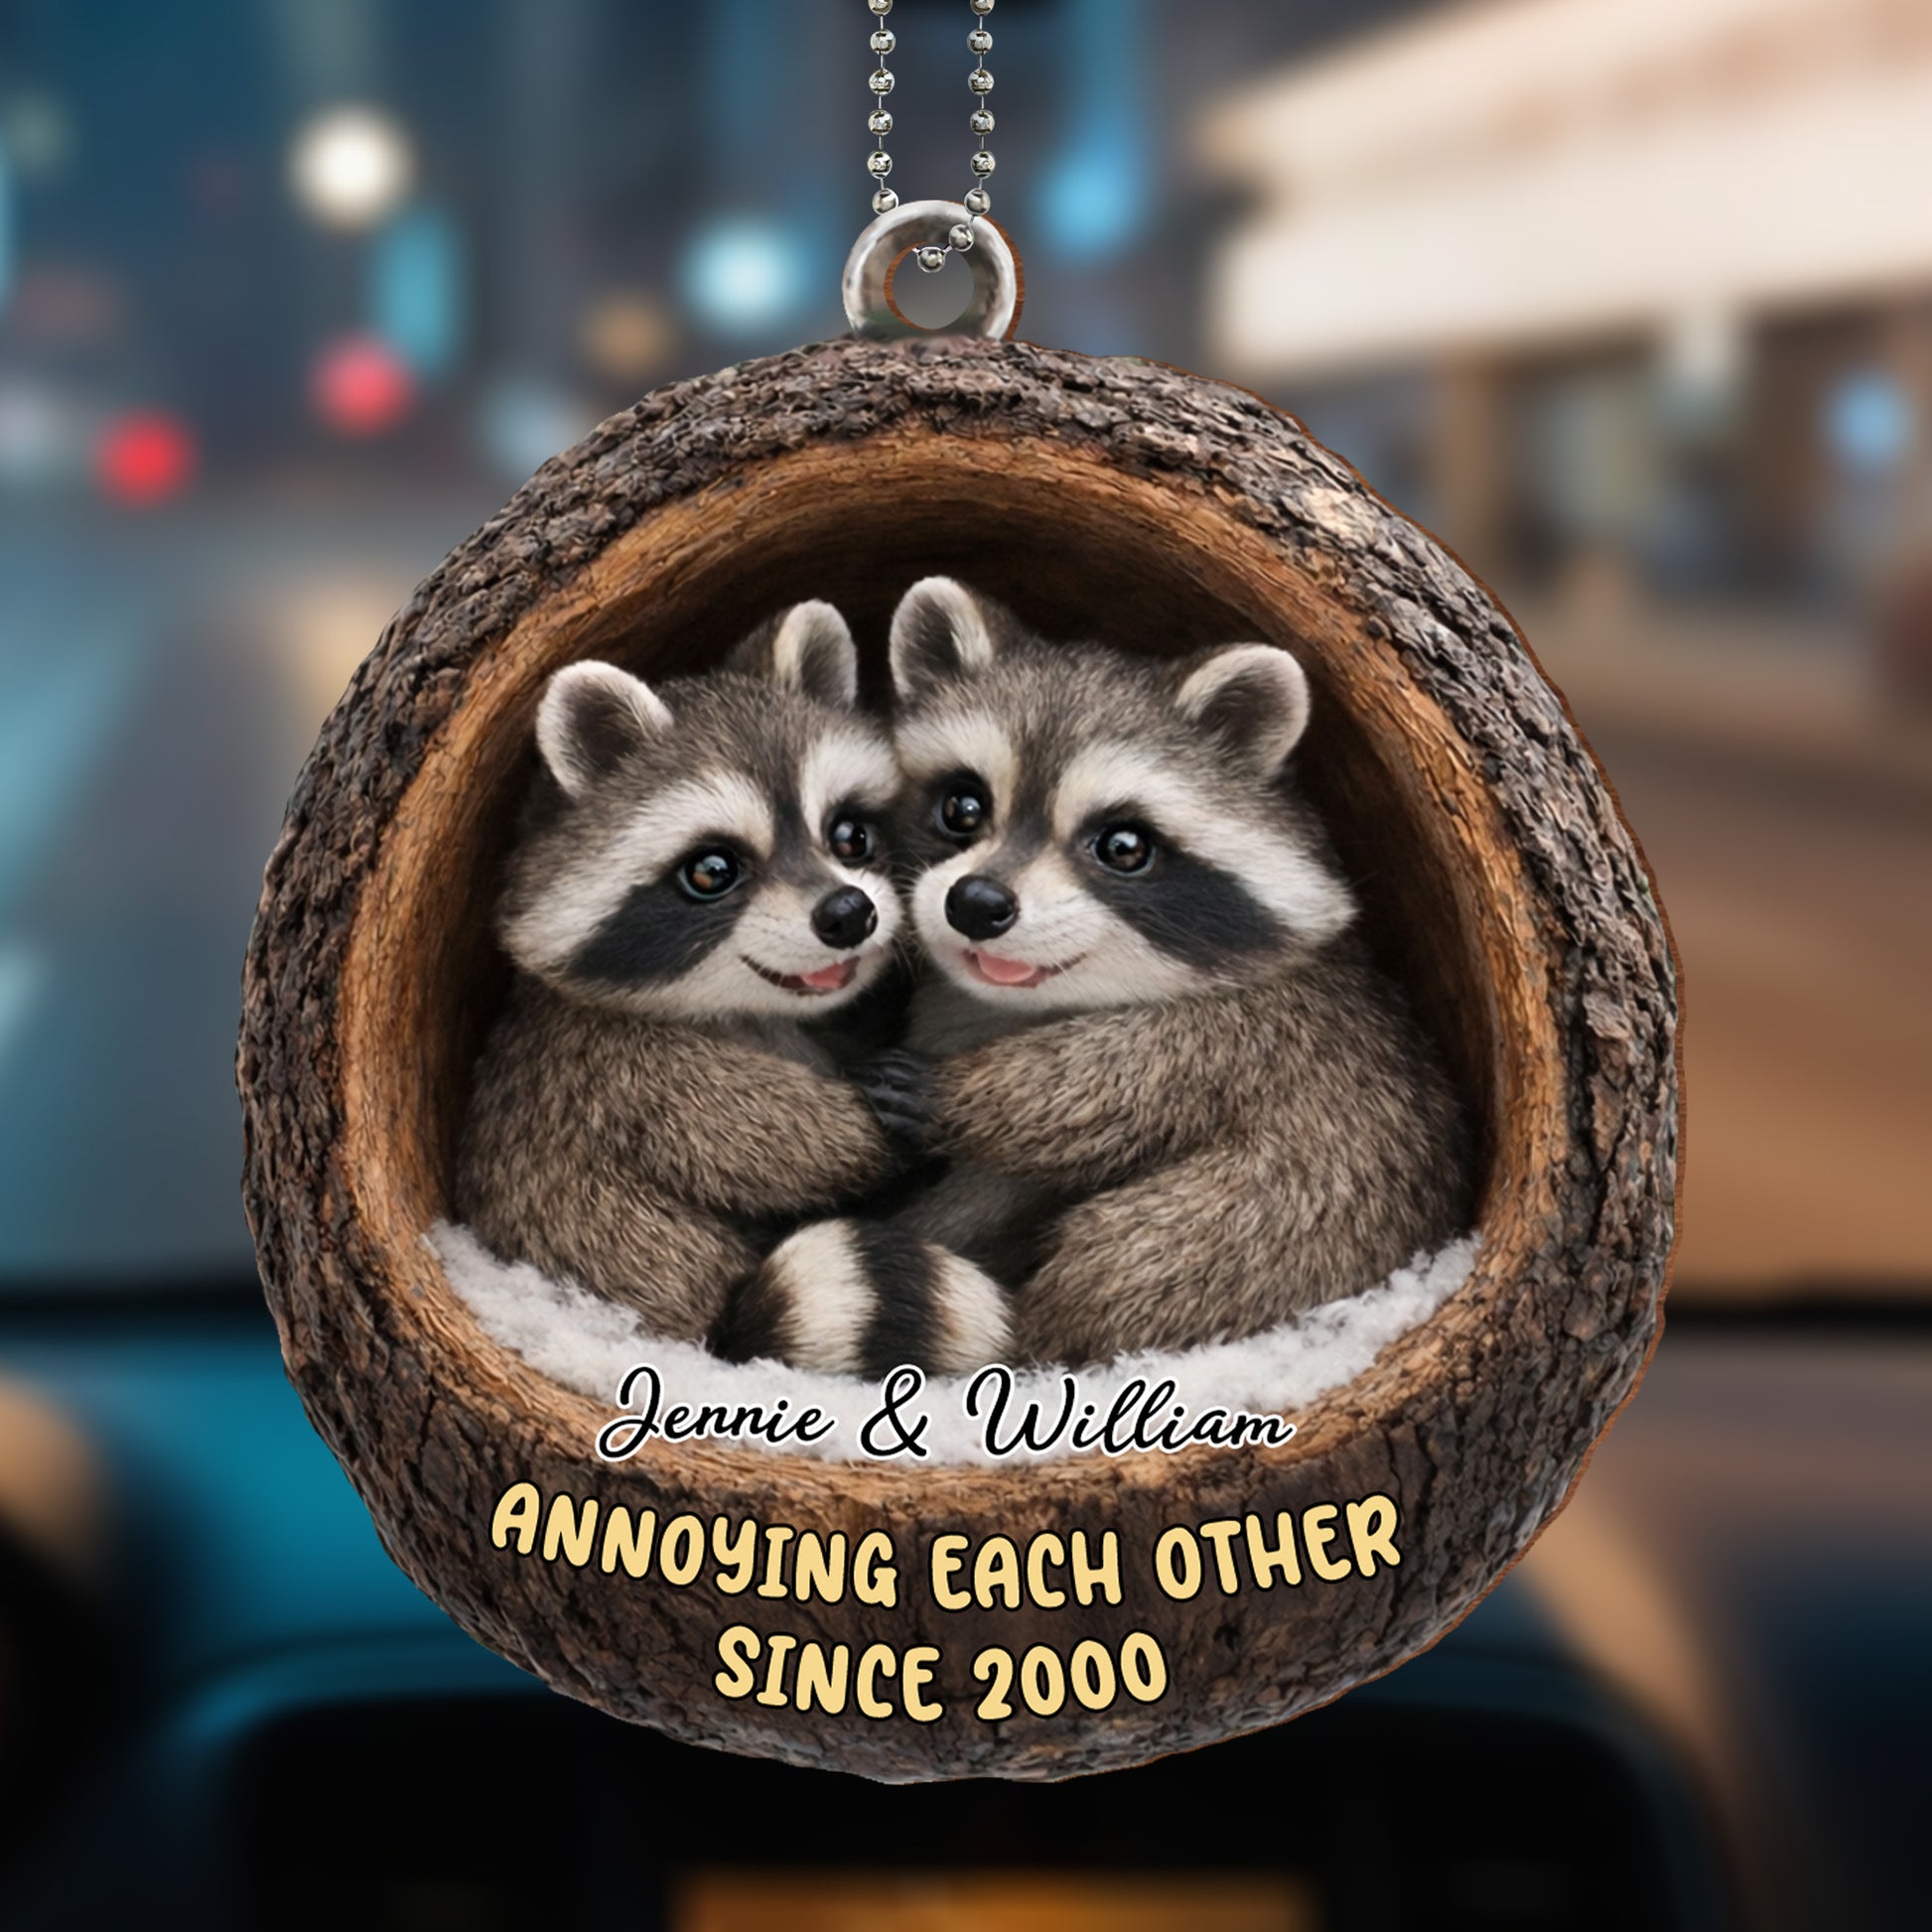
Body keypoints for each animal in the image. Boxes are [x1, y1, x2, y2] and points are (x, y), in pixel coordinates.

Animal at [454, 601, 922, 1344]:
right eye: (712, 871)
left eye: (850, 835)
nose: (849, 913)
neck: (753, 1010)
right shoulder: (617, 1066)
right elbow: (778, 1141)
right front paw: (884, 1132)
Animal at [733, 579, 1470, 1372]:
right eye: (962, 806)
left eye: (1122, 846)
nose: (976, 903)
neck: (1022, 1003)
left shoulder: (1260, 1027)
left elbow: (1114, 1087)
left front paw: (957, 1097)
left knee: (1138, 1256)